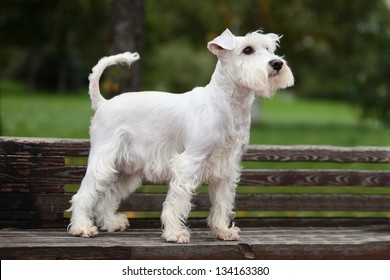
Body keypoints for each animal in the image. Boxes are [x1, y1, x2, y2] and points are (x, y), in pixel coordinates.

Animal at [68, 29, 292, 243]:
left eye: (269, 49)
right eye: (247, 50)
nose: (277, 63)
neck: (227, 104)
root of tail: (103, 103)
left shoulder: (226, 168)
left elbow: (222, 202)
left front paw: (222, 230)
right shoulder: (189, 162)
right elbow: (177, 201)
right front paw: (175, 233)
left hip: (127, 171)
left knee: (107, 196)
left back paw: (111, 223)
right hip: (103, 162)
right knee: (84, 194)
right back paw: (82, 227)